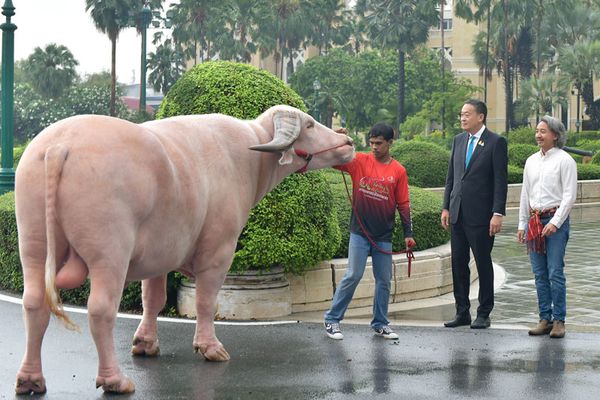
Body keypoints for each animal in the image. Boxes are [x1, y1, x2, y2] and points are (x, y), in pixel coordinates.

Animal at [14, 104, 354, 396]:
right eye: (309, 125)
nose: (348, 141)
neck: (249, 157)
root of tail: (60, 146)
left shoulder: (158, 255)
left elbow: (153, 299)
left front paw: (145, 343)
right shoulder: (218, 252)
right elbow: (206, 302)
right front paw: (210, 347)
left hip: (32, 243)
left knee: (34, 304)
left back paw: (30, 379)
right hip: (109, 253)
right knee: (100, 310)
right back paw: (115, 380)